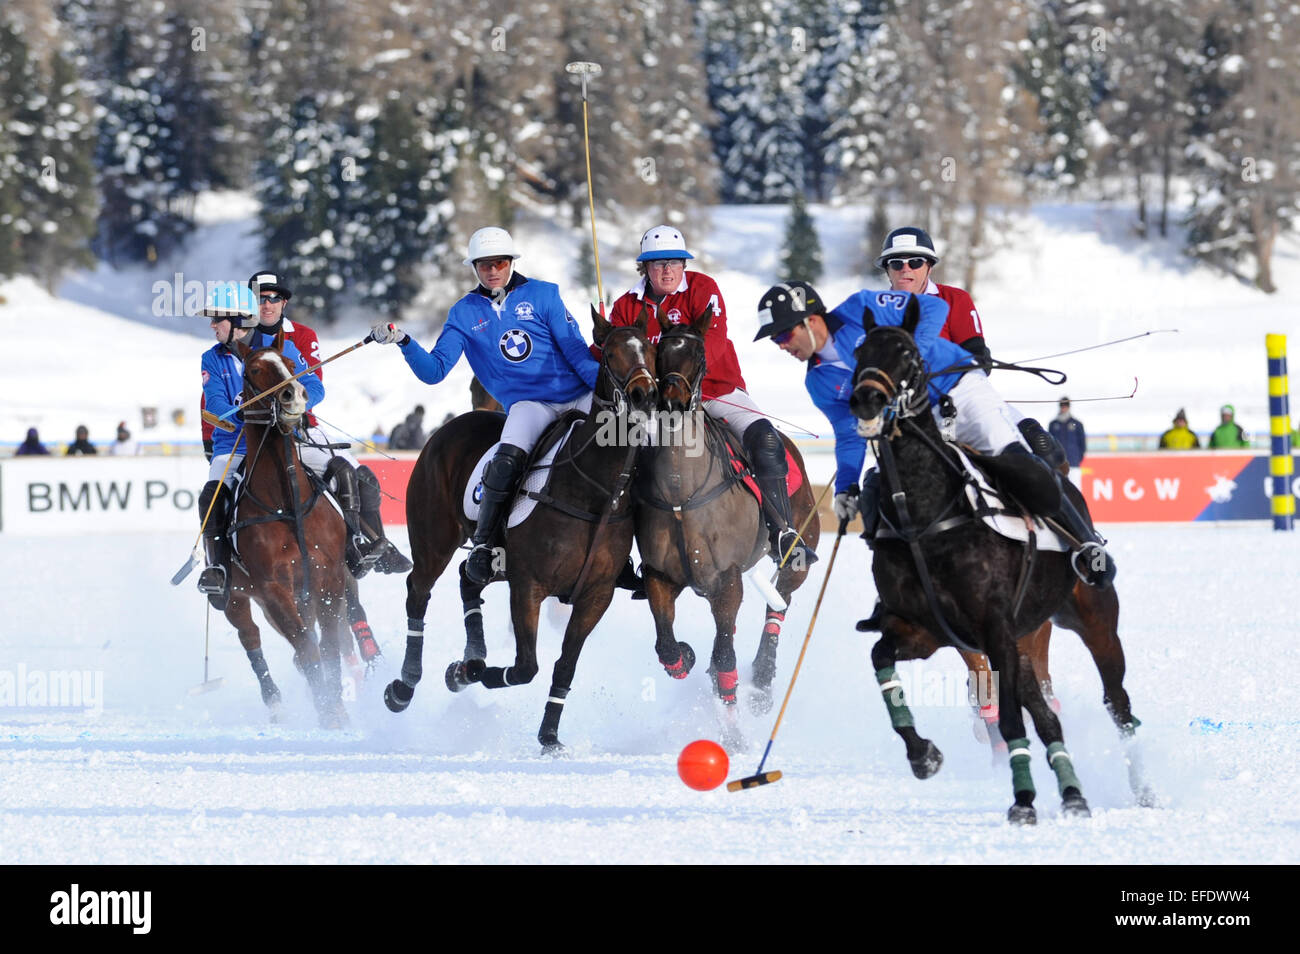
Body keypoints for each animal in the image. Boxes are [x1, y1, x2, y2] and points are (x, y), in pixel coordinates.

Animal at [222, 348, 351, 727]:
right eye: (253, 369)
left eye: (292, 365)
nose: (292, 395)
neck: (286, 502)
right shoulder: (272, 588)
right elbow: (308, 649)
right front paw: (327, 710)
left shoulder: (329, 578)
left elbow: (329, 646)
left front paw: (336, 707)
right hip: (236, 597)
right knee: (250, 636)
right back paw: (275, 703)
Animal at [379, 314, 655, 753]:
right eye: (610, 353)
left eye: (651, 348)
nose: (645, 395)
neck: (594, 488)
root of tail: (453, 424)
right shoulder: (528, 586)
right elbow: (527, 666)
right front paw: (465, 673)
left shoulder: (596, 595)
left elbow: (565, 666)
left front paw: (550, 736)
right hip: (433, 539)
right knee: (418, 591)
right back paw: (405, 687)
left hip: (495, 559)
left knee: (467, 578)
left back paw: (471, 656)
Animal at [634, 311, 816, 733]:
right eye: (658, 352)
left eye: (700, 354)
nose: (673, 403)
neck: (681, 491)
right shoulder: (659, 577)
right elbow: (667, 648)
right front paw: (685, 657)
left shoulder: (728, 578)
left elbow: (725, 658)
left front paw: (733, 737)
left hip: (797, 552)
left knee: (779, 601)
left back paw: (763, 678)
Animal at [852, 317, 1086, 826]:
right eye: (859, 352)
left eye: (908, 354)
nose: (866, 399)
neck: (924, 519)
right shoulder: (921, 630)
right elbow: (880, 660)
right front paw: (922, 755)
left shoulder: (994, 627)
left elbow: (1012, 718)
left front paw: (1023, 801)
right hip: (1022, 642)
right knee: (1046, 716)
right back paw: (1074, 795)